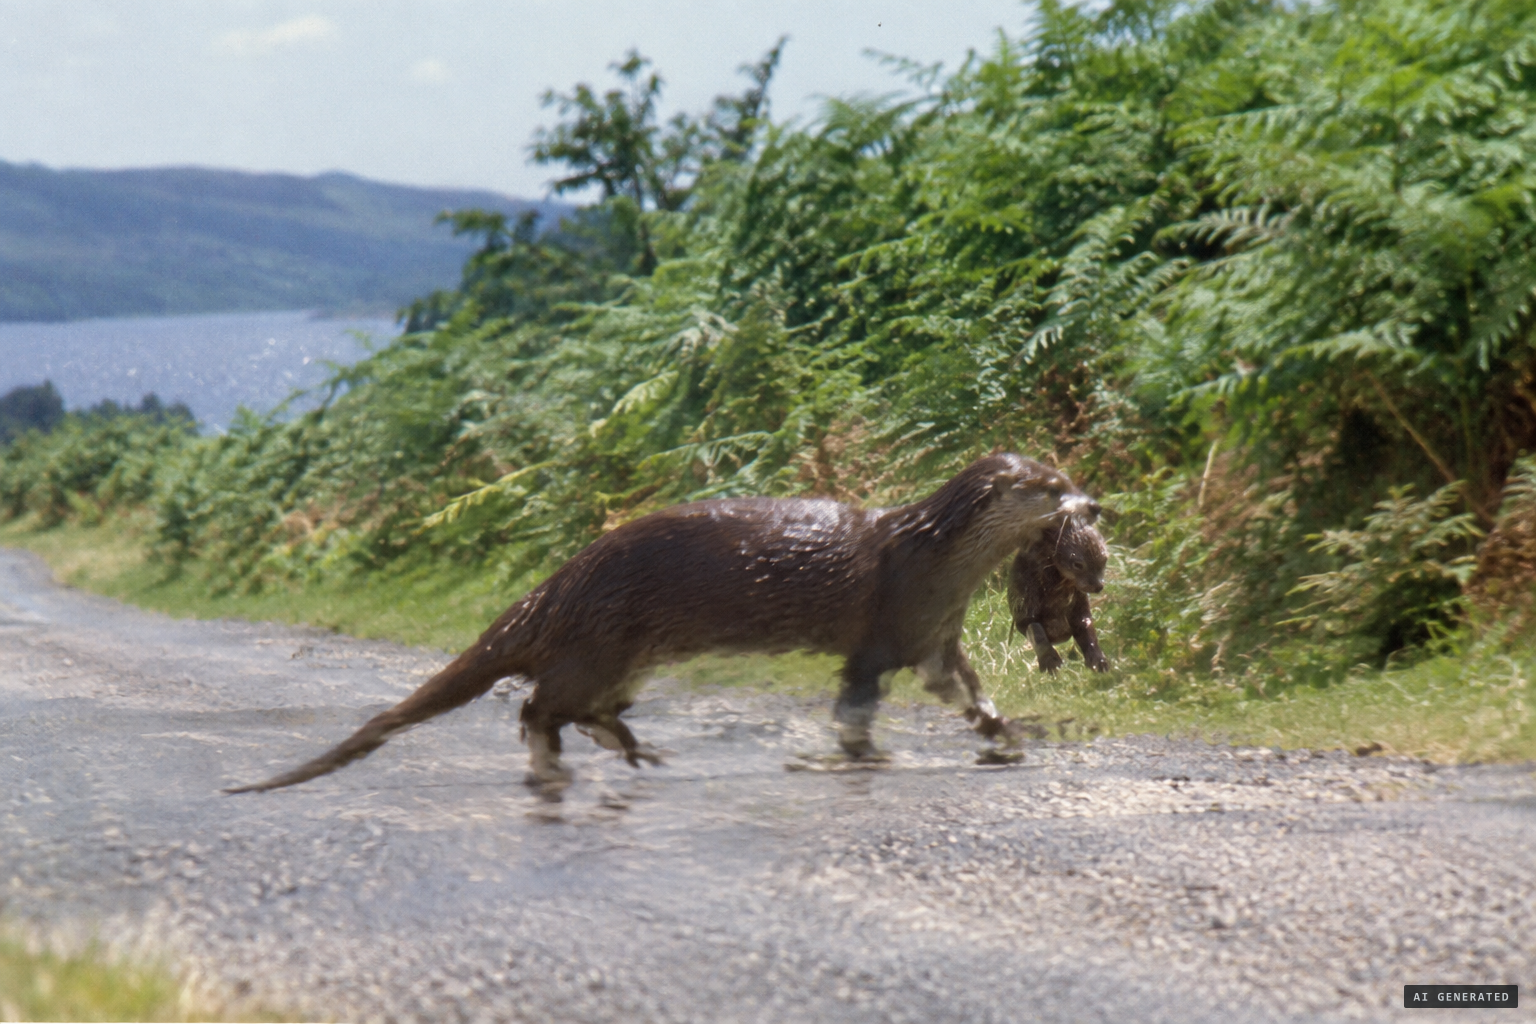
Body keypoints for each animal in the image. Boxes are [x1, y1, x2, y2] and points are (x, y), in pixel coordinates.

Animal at [226, 453, 1090, 793]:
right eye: (1049, 488)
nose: (1092, 500)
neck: (931, 559)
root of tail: (560, 584)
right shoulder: (883, 631)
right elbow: (855, 707)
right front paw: (862, 758)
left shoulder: (933, 638)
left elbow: (969, 695)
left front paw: (1007, 739)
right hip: (601, 639)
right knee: (538, 705)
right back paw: (559, 765)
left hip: (626, 656)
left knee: (582, 707)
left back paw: (635, 749)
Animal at [1007, 511, 1111, 673]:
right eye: (1078, 564)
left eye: (1105, 559)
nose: (1098, 586)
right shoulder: (1024, 614)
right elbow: (1037, 631)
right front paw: (1050, 662)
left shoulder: (1079, 611)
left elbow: (1088, 632)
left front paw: (1098, 661)